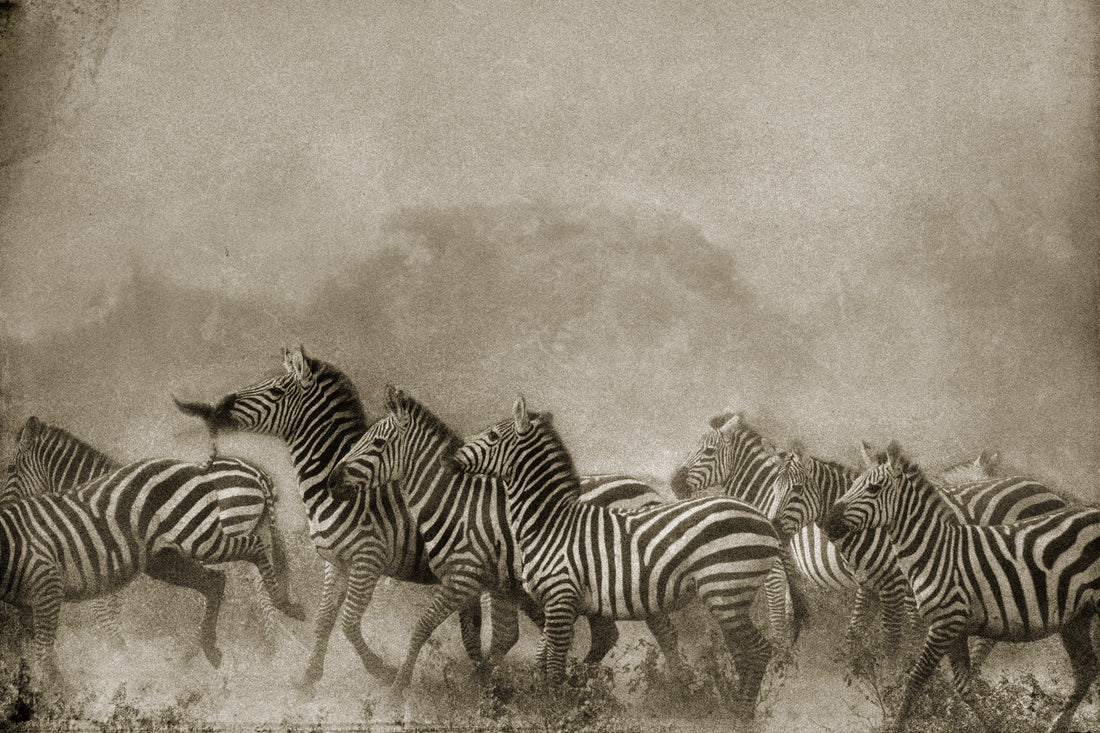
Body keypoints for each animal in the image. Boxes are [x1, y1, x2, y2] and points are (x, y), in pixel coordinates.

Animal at [0, 451, 301, 677]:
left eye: (11, 469)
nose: (5, 507)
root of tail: (257, 474)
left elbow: (105, 613)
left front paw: (119, 653)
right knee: (255, 588)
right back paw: (268, 642)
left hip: (218, 534)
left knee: (249, 583)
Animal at [327, 385, 686, 695]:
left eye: (377, 444)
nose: (332, 481)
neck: (455, 502)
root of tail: (647, 489)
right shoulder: (492, 585)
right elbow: (482, 637)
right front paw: (484, 685)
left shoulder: (464, 578)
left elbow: (426, 628)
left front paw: (398, 688)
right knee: (613, 635)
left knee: (661, 631)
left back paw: (676, 688)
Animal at [451, 396, 778, 717]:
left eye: (492, 436)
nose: (451, 459)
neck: (551, 522)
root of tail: (763, 520)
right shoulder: (553, 600)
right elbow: (541, 659)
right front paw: (544, 700)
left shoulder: (560, 598)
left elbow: (553, 665)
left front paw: (556, 710)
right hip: (729, 596)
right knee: (741, 651)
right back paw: (728, 706)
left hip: (725, 590)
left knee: (756, 650)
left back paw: (739, 715)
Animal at [822, 440, 1095, 730]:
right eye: (852, 484)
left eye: (873, 488)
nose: (828, 522)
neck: (935, 549)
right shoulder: (954, 626)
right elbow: (962, 686)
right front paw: (987, 723)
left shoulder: (944, 620)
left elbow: (914, 676)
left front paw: (894, 720)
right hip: (1076, 617)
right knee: (1086, 669)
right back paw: (1057, 724)